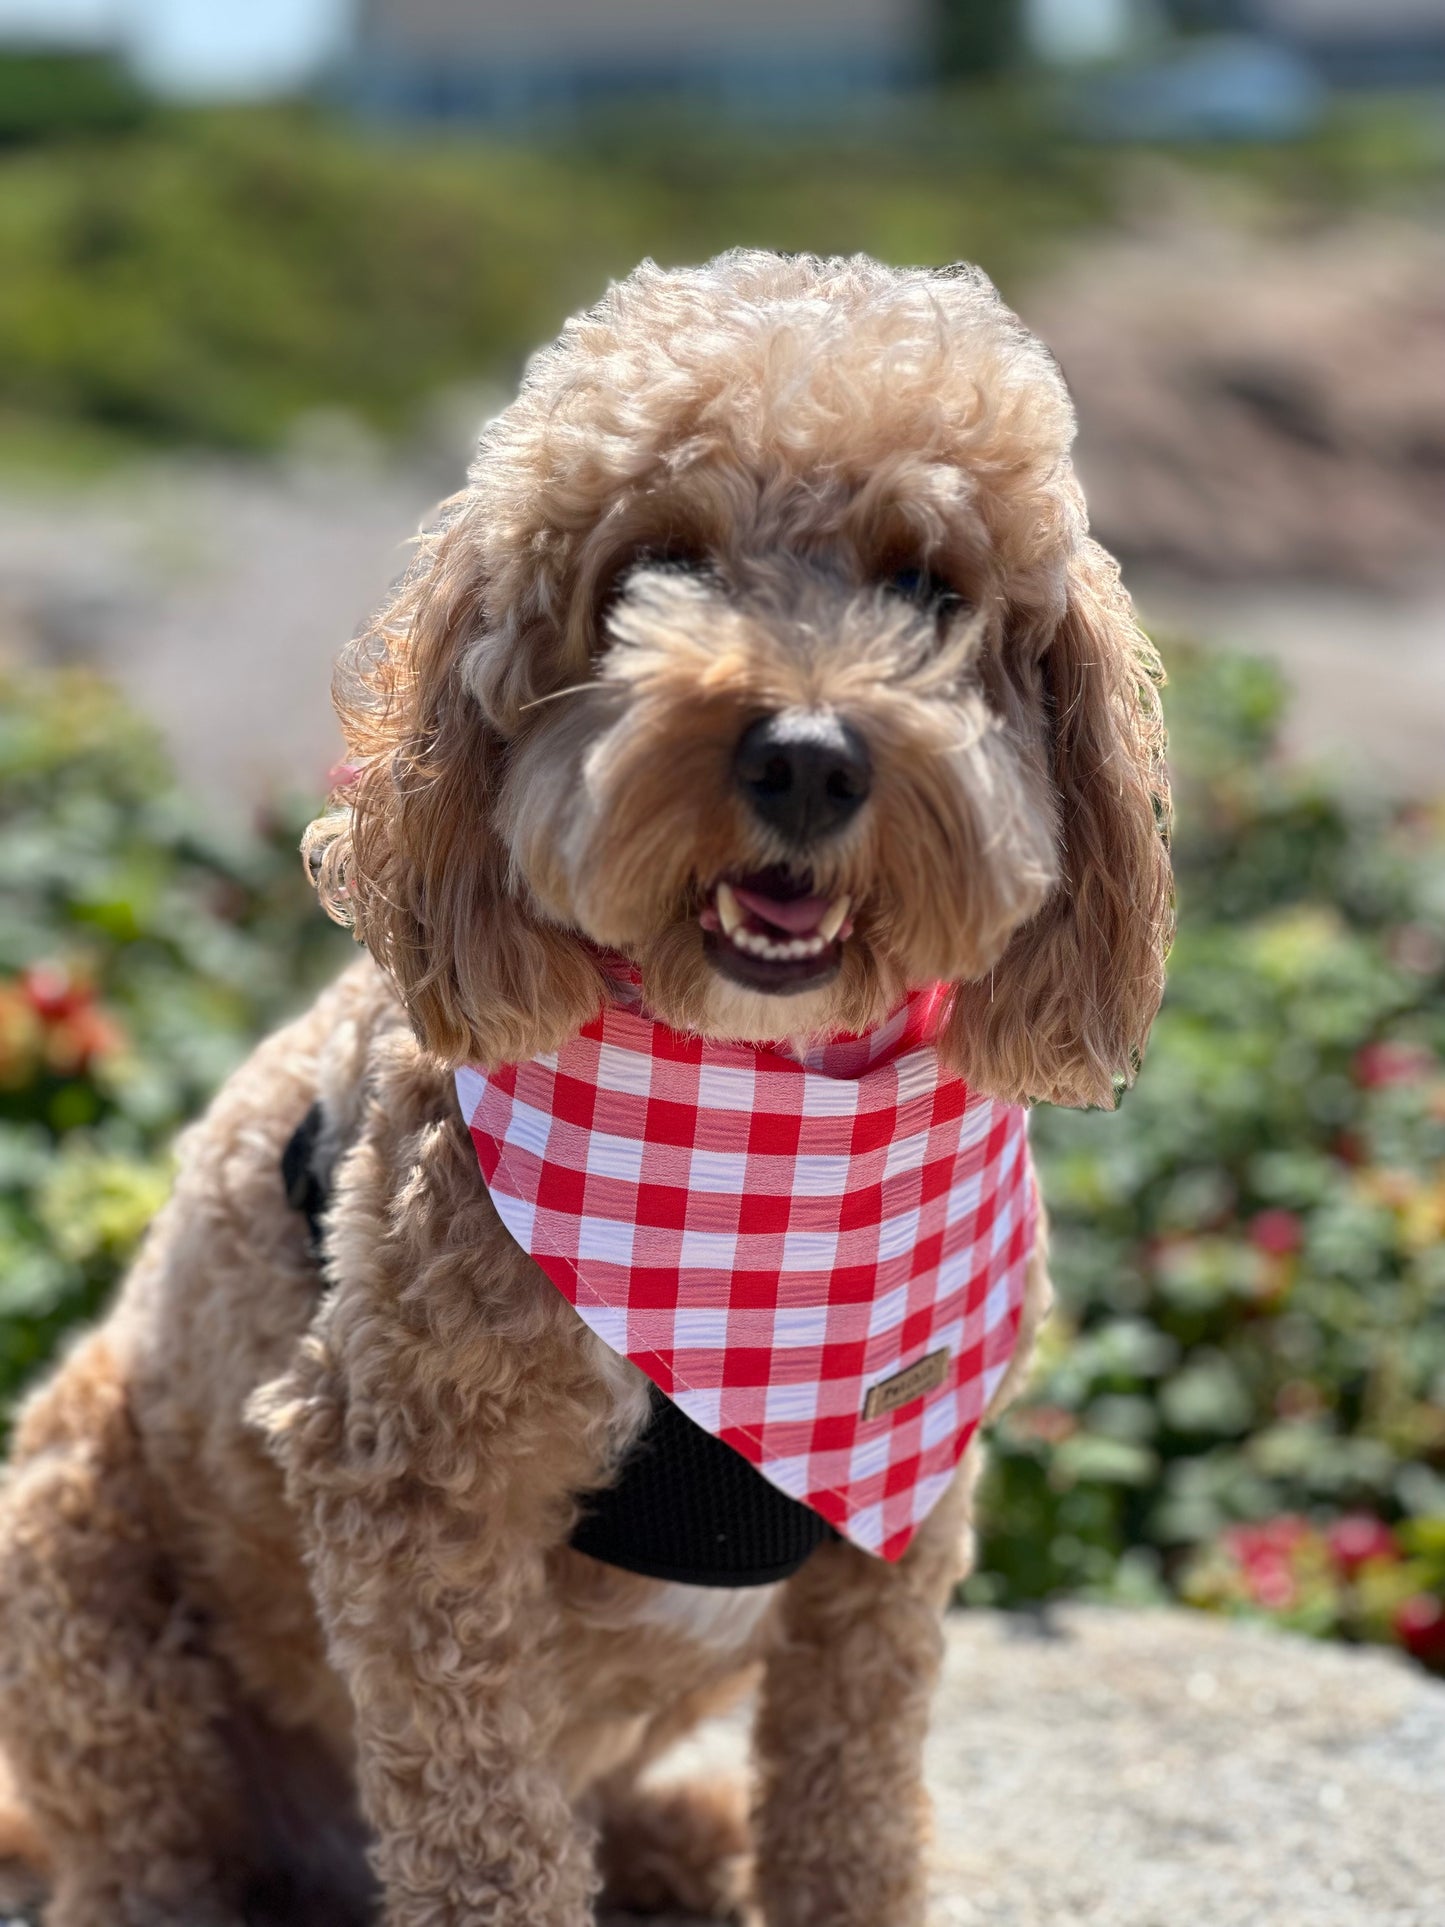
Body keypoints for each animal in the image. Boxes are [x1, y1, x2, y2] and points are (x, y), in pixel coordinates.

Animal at [0, 256, 1179, 1927]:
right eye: (656, 566)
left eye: (929, 587)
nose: (807, 758)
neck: (749, 1119)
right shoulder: (413, 1492)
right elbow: (485, 1834)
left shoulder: (897, 1528)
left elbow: (852, 1803)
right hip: (74, 1558)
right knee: (148, 1857)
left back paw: (693, 1842)